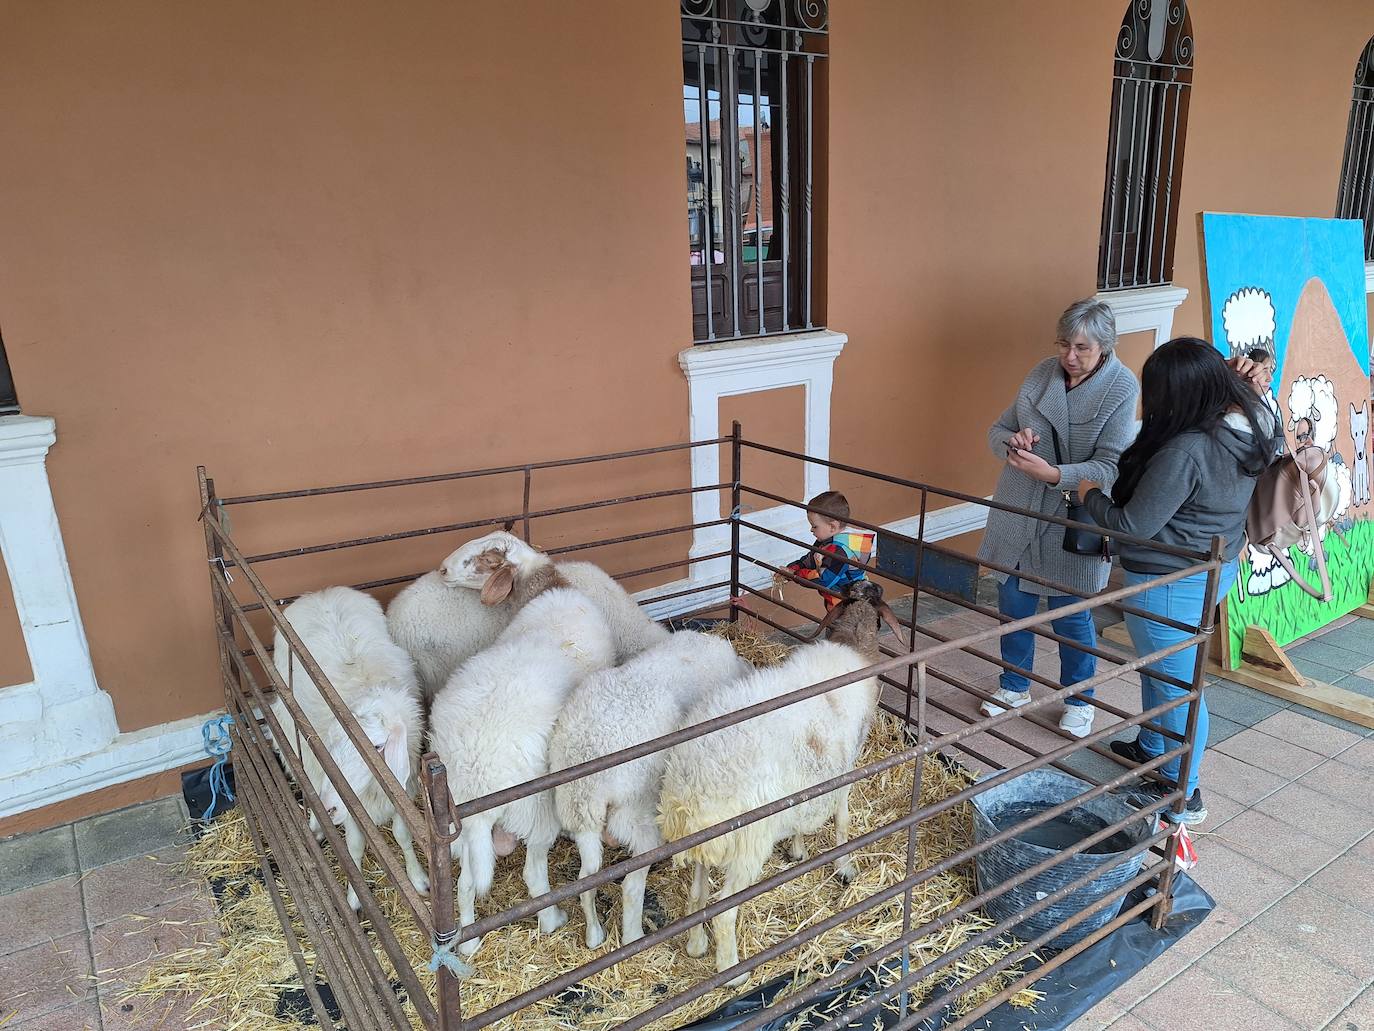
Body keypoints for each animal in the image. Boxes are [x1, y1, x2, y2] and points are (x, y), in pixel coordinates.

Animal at [263, 588, 423, 912]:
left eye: (377, 746)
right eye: (334, 740)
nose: (330, 807)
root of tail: (319, 593)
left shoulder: (404, 789)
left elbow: (403, 836)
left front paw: (417, 879)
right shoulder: (348, 801)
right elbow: (355, 847)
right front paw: (354, 897)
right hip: (291, 728)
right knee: (308, 777)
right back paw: (316, 824)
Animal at [425, 552, 615, 967]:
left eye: (480, 560)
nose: (442, 570)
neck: (548, 589)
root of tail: (476, 771)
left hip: (462, 829)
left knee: (465, 884)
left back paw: (467, 945)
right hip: (538, 807)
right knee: (533, 875)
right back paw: (552, 920)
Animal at [549, 629, 752, 945]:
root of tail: (589, 779)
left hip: (579, 815)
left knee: (586, 877)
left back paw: (594, 935)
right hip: (639, 812)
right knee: (631, 884)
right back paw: (634, 936)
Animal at [659, 577, 906, 989]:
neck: (852, 644)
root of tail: (692, 791)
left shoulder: (813, 778)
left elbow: (806, 817)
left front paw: (798, 849)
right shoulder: (846, 768)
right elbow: (842, 820)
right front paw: (845, 867)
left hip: (704, 846)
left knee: (696, 898)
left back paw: (695, 946)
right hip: (748, 842)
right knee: (723, 913)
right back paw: (732, 972)